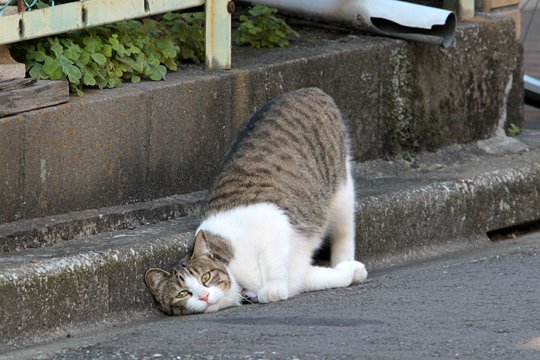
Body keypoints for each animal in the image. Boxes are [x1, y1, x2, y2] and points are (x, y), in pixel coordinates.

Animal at [144, 87, 368, 316]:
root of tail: (308, 90)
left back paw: (343, 257)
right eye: (183, 294)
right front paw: (351, 271)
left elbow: (274, 261)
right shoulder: (299, 277)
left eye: (205, 277)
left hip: (341, 189)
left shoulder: (271, 219)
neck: (236, 277)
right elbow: (324, 278)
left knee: (345, 230)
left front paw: (273, 289)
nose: (204, 296)